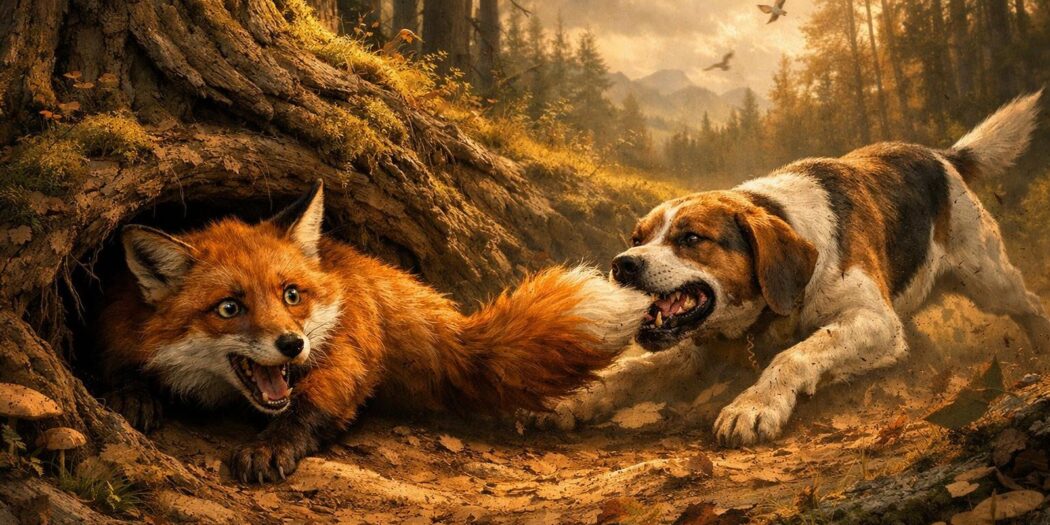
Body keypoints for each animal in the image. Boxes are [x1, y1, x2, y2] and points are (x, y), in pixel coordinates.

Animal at [96, 180, 650, 483]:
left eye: (291, 295)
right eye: (229, 308)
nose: (292, 345)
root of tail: (352, 261)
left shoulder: (326, 365)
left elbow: (307, 410)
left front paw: (270, 445)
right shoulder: (118, 320)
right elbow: (121, 367)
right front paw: (132, 395)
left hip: (345, 346)